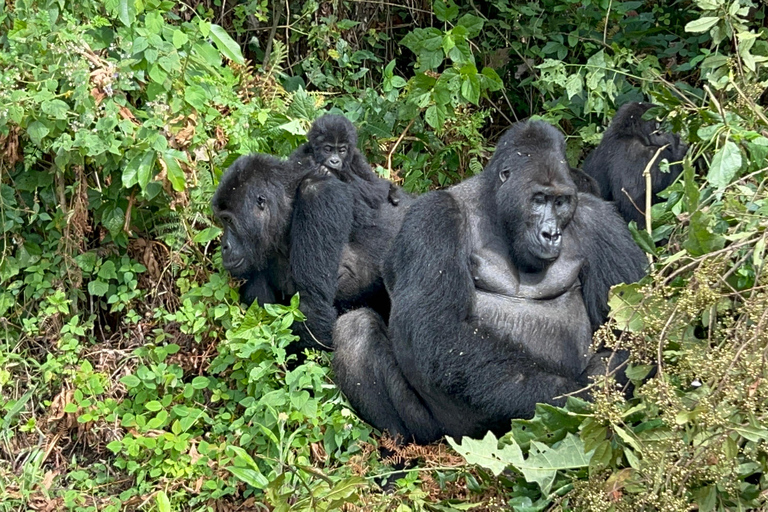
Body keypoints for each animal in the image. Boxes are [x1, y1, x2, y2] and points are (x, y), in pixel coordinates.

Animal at [210, 152, 404, 352]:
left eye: (228, 220)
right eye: (222, 220)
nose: (224, 247)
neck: (286, 206)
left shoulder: (319, 196)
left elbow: (313, 306)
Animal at [332, 120, 644, 444]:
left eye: (561, 202)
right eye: (539, 199)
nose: (551, 233)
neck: (497, 210)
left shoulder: (602, 223)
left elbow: (630, 336)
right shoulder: (434, 216)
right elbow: (440, 328)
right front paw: (566, 396)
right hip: (444, 432)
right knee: (355, 330)